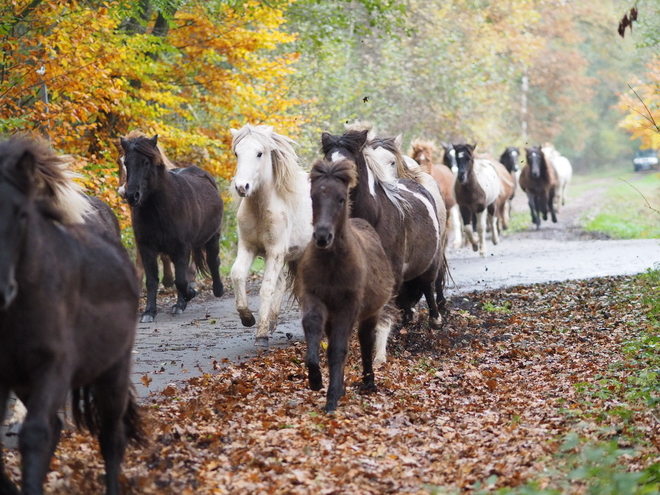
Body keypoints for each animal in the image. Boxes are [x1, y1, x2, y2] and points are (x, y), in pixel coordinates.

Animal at [118, 134, 222, 324]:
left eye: (146, 162)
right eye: (127, 162)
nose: (131, 196)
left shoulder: (181, 248)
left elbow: (180, 280)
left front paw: (190, 294)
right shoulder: (147, 248)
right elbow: (152, 280)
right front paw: (149, 312)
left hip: (213, 237)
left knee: (212, 261)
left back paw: (216, 290)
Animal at [229, 126, 312, 346]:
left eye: (259, 153)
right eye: (236, 153)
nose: (242, 187)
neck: (261, 209)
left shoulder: (275, 251)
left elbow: (266, 288)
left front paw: (261, 336)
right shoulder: (249, 247)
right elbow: (237, 274)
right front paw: (247, 318)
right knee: (283, 283)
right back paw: (273, 322)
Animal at [296, 159, 394, 414]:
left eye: (341, 198)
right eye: (313, 197)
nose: (322, 236)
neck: (332, 264)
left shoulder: (349, 305)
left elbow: (339, 348)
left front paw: (331, 400)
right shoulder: (314, 297)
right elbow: (313, 327)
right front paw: (316, 380)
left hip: (369, 312)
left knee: (366, 341)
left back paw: (368, 382)